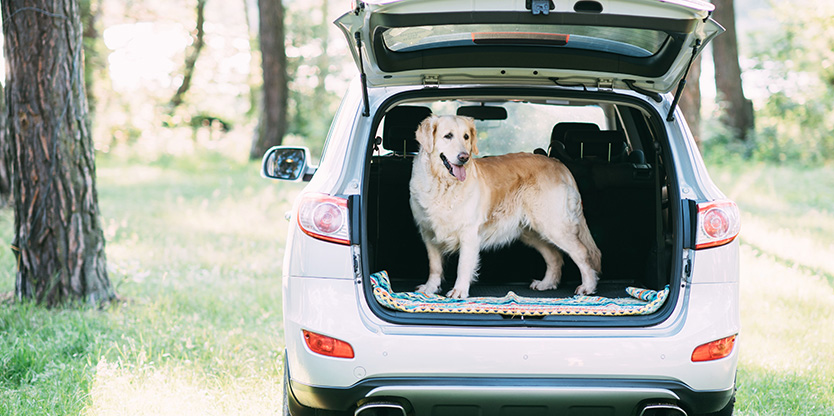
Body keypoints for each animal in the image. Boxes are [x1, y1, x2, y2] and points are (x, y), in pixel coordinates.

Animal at [408, 115, 600, 300]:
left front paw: (459, 291)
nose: (464, 157)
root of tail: (558, 163)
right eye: (448, 136)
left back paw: (588, 287)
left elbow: (463, 266)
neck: (443, 183)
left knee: (582, 252)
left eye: (466, 136)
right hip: (532, 231)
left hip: (554, 225)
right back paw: (546, 283)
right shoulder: (428, 232)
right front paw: (430, 288)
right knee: (555, 257)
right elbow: (434, 266)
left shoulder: (469, 232)